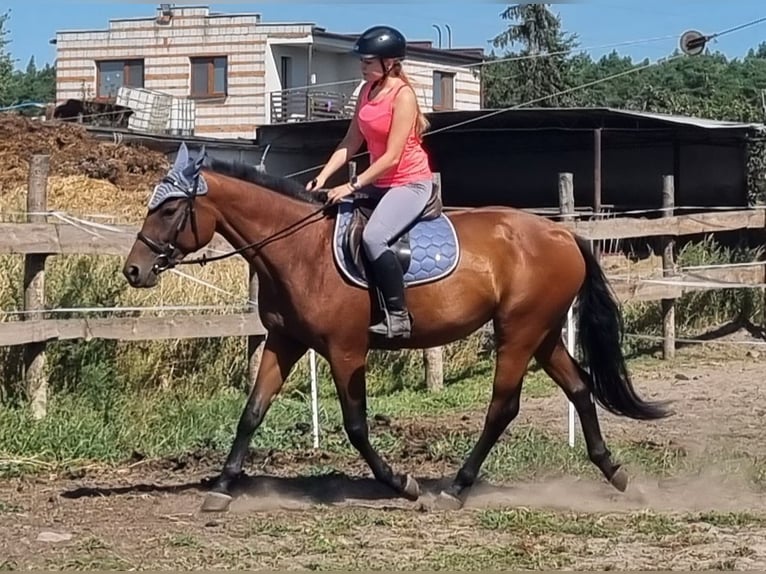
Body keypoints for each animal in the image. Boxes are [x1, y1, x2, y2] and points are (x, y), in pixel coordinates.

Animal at [121, 143, 672, 512]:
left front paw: (401, 483)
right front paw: (220, 490)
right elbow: (252, 413)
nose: (134, 271)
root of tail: (562, 233)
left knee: (503, 407)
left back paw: (455, 488)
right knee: (579, 388)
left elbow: (357, 426)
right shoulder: (285, 342)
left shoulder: (346, 351)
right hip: (542, 333)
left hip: (519, 331)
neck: (300, 250)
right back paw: (616, 474)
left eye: (169, 208)